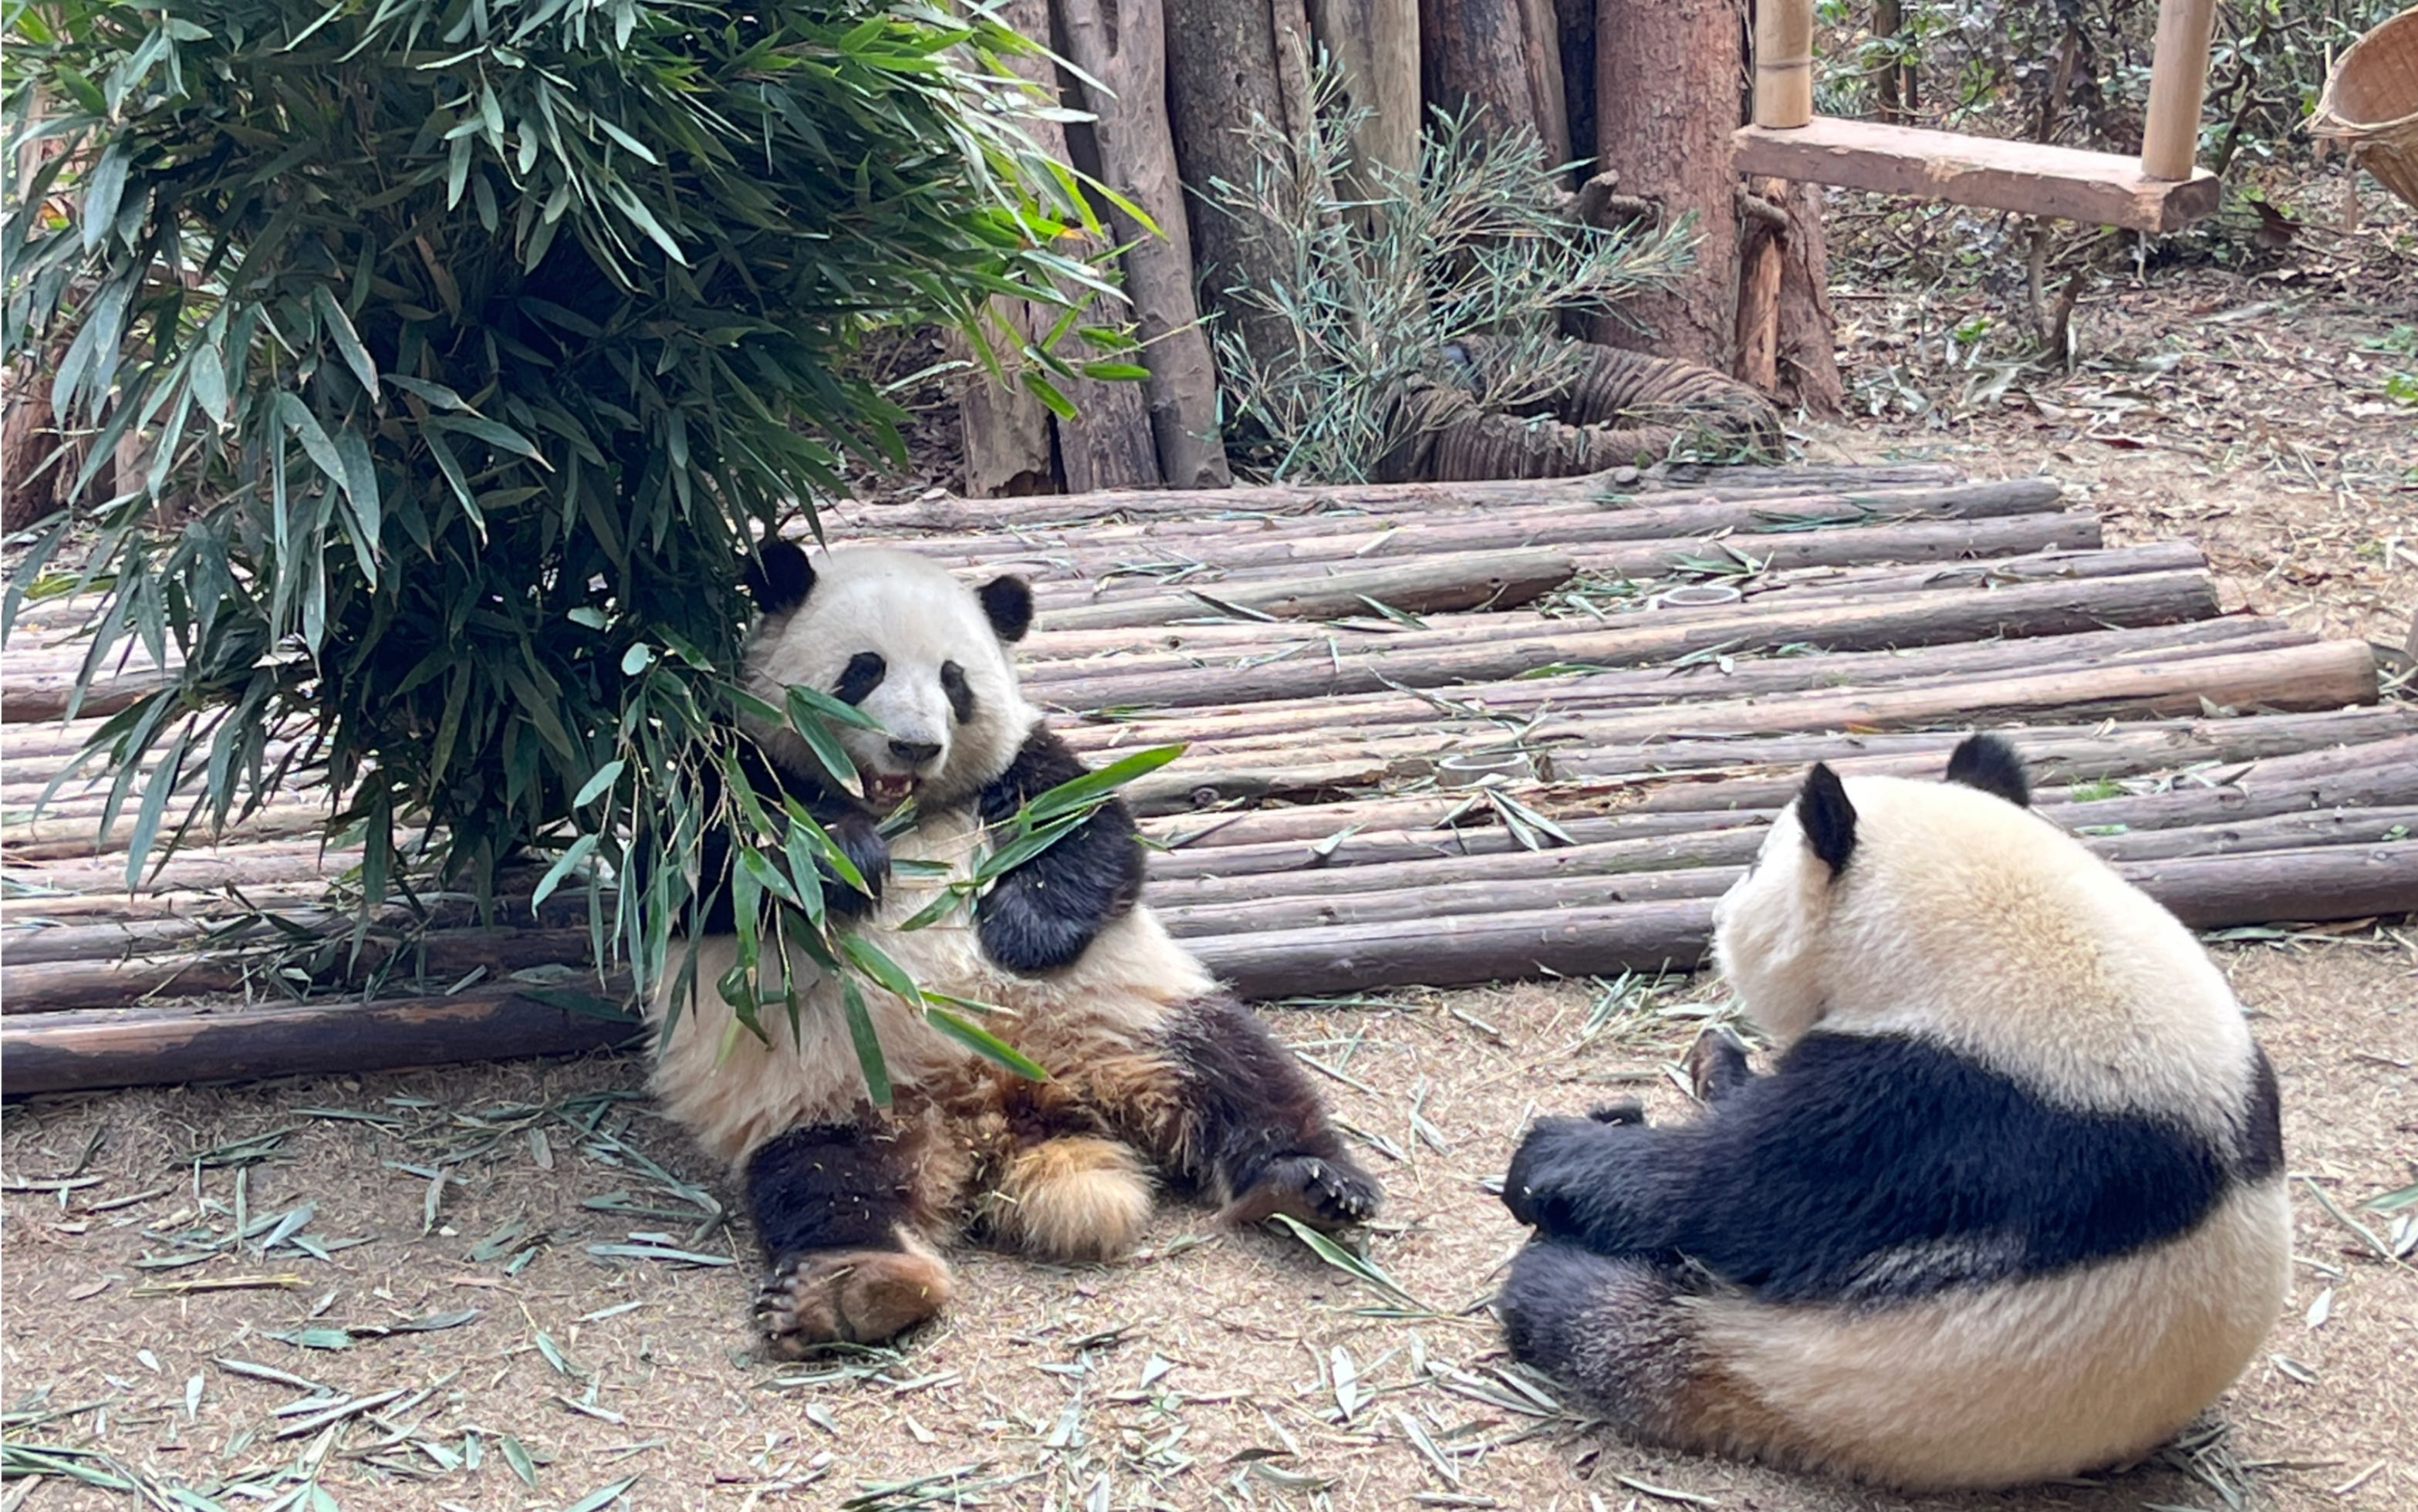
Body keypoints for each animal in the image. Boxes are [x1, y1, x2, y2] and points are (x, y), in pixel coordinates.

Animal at [647, 537, 1383, 1355]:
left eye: (953, 679)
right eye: (863, 669)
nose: (915, 745)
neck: (900, 812)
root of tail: (1002, 1110)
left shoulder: (1023, 763)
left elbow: (1090, 834)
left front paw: (1021, 933)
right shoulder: (727, 767)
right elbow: (701, 877)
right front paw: (844, 859)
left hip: (1134, 1017)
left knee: (1240, 1073)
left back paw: (1309, 1182)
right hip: (829, 1090)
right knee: (821, 1181)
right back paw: (851, 1287)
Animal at [1489, 731, 2282, 1490]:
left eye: (1752, 868)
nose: (1716, 916)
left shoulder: (1941, 1110)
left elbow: (1737, 1196)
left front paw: (1547, 1163)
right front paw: (1708, 1066)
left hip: (1812, 1371)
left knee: (1605, 1320)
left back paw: (1556, 1275)